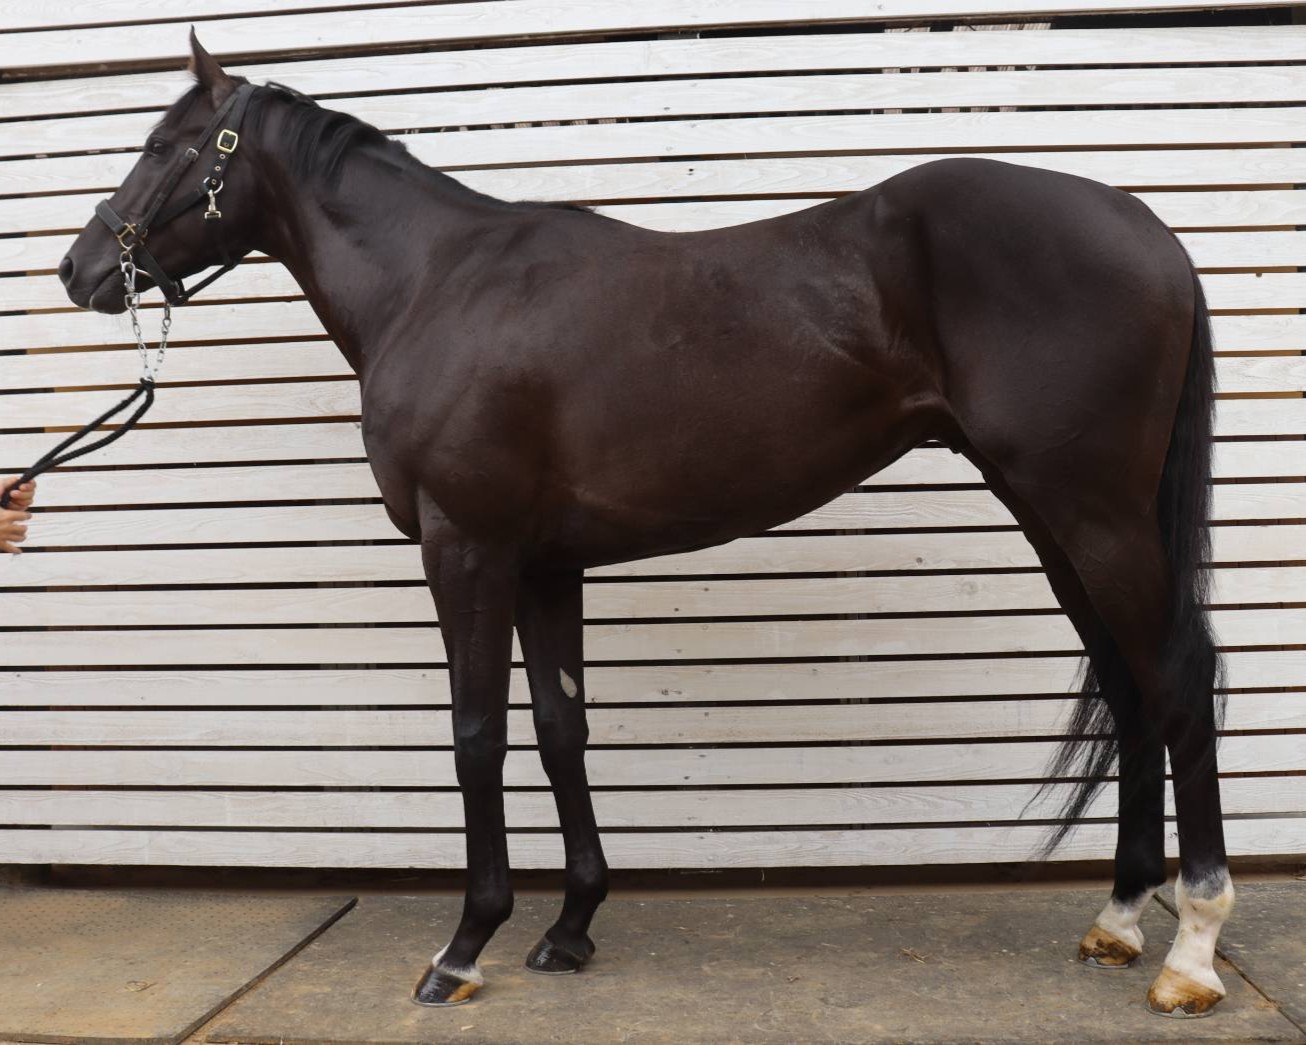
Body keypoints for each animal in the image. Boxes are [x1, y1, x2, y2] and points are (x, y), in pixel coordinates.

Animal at [58, 32, 1232, 1017]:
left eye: (161, 145)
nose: (80, 270)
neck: (438, 286)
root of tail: (1143, 222)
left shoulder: (466, 549)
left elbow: (477, 735)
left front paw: (464, 945)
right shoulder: (545, 564)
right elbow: (558, 729)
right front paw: (571, 925)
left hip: (1092, 510)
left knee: (1177, 679)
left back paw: (1190, 952)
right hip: (1051, 514)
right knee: (1128, 685)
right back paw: (1119, 919)